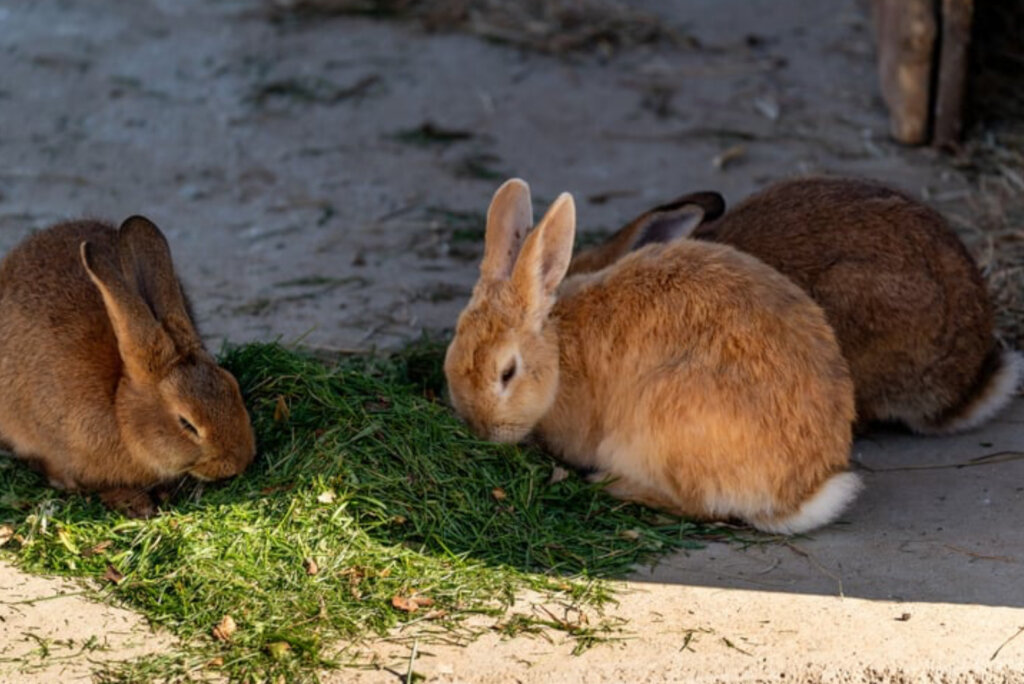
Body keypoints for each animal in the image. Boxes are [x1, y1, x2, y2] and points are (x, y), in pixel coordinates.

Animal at [444, 178, 859, 534]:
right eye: (452, 355)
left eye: (507, 373)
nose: (482, 429)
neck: (559, 352)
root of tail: (799, 494)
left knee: (699, 506)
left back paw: (610, 484)